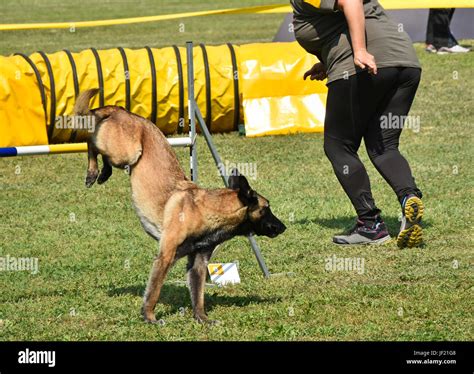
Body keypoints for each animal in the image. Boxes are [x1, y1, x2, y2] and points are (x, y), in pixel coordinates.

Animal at [74, 89, 286, 322]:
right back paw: (93, 172)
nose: (283, 227)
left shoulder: (198, 263)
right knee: (90, 141)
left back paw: (103, 173)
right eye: (267, 208)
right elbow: (154, 291)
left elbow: (198, 294)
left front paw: (202, 319)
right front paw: (150, 318)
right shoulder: (165, 256)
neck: (207, 211)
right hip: (127, 153)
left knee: (98, 147)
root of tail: (124, 111)